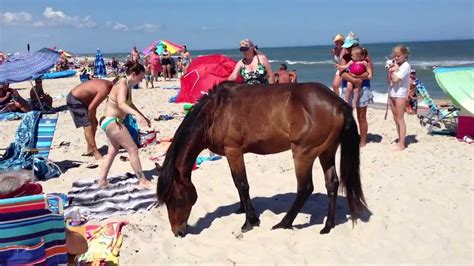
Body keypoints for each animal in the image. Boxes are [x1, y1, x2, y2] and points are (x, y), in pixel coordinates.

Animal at [157, 81, 368, 237]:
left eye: (176, 197)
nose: (178, 232)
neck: (214, 112)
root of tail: (337, 102)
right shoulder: (231, 154)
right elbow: (236, 183)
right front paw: (242, 209)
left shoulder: (234, 151)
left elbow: (242, 184)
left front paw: (250, 221)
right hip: (326, 152)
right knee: (332, 184)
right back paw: (328, 225)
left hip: (303, 153)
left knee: (305, 188)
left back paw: (284, 223)